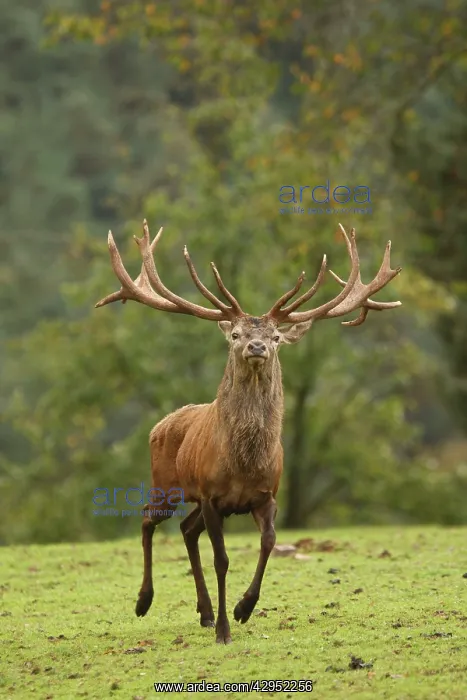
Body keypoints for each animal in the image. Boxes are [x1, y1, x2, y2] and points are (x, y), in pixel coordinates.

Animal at [95, 220, 401, 644]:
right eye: (236, 335)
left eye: (276, 337)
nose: (257, 346)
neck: (244, 463)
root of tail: (160, 424)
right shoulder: (211, 496)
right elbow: (222, 559)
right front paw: (225, 630)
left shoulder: (265, 495)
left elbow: (269, 542)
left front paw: (243, 608)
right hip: (167, 485)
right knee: (147, 519)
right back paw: (145, 602)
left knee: (186, 529)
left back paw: (205, 612)